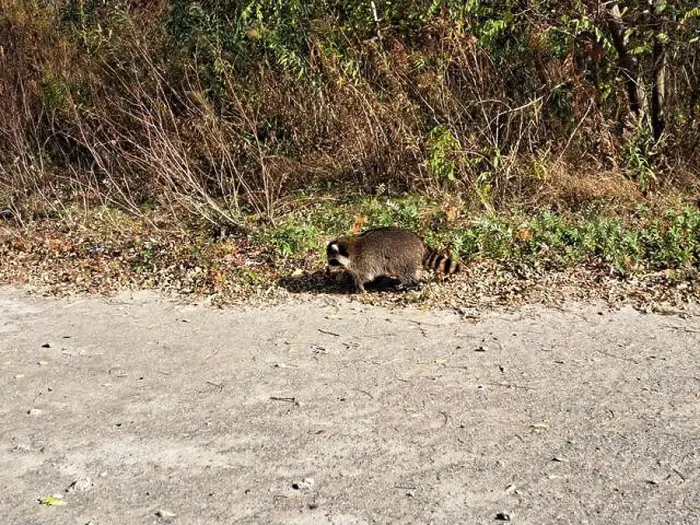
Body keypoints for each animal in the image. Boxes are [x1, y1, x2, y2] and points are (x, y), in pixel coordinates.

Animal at [326, 227, 460, 293]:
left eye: (331, 260)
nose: (327, 267)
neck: (351, 248)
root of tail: (419, 242)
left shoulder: (363, 261)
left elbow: (366, 276)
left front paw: (359, 286)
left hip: (404, 259)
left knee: (406, 274)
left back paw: (410, 284)